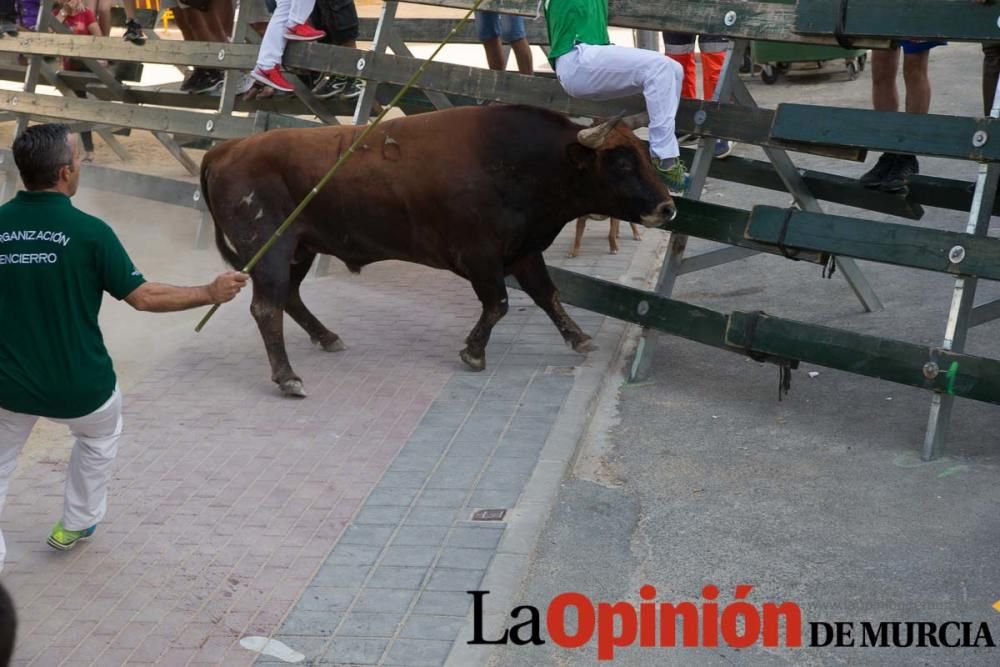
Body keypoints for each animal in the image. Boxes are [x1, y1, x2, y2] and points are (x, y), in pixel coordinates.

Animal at [201, 104, 672, 396]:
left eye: (645, 153)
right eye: (621, 161)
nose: (667, 207)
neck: (522, 161)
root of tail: (228, 148)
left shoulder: (523, 251)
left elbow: (547, 295)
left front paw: (579, 338)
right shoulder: (480, 257)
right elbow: (498, 304)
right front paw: (473, 353)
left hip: (300, 249)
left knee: (290, 298)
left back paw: (327, 337)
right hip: (272, 251)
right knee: (267, 308)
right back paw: (287, 378)